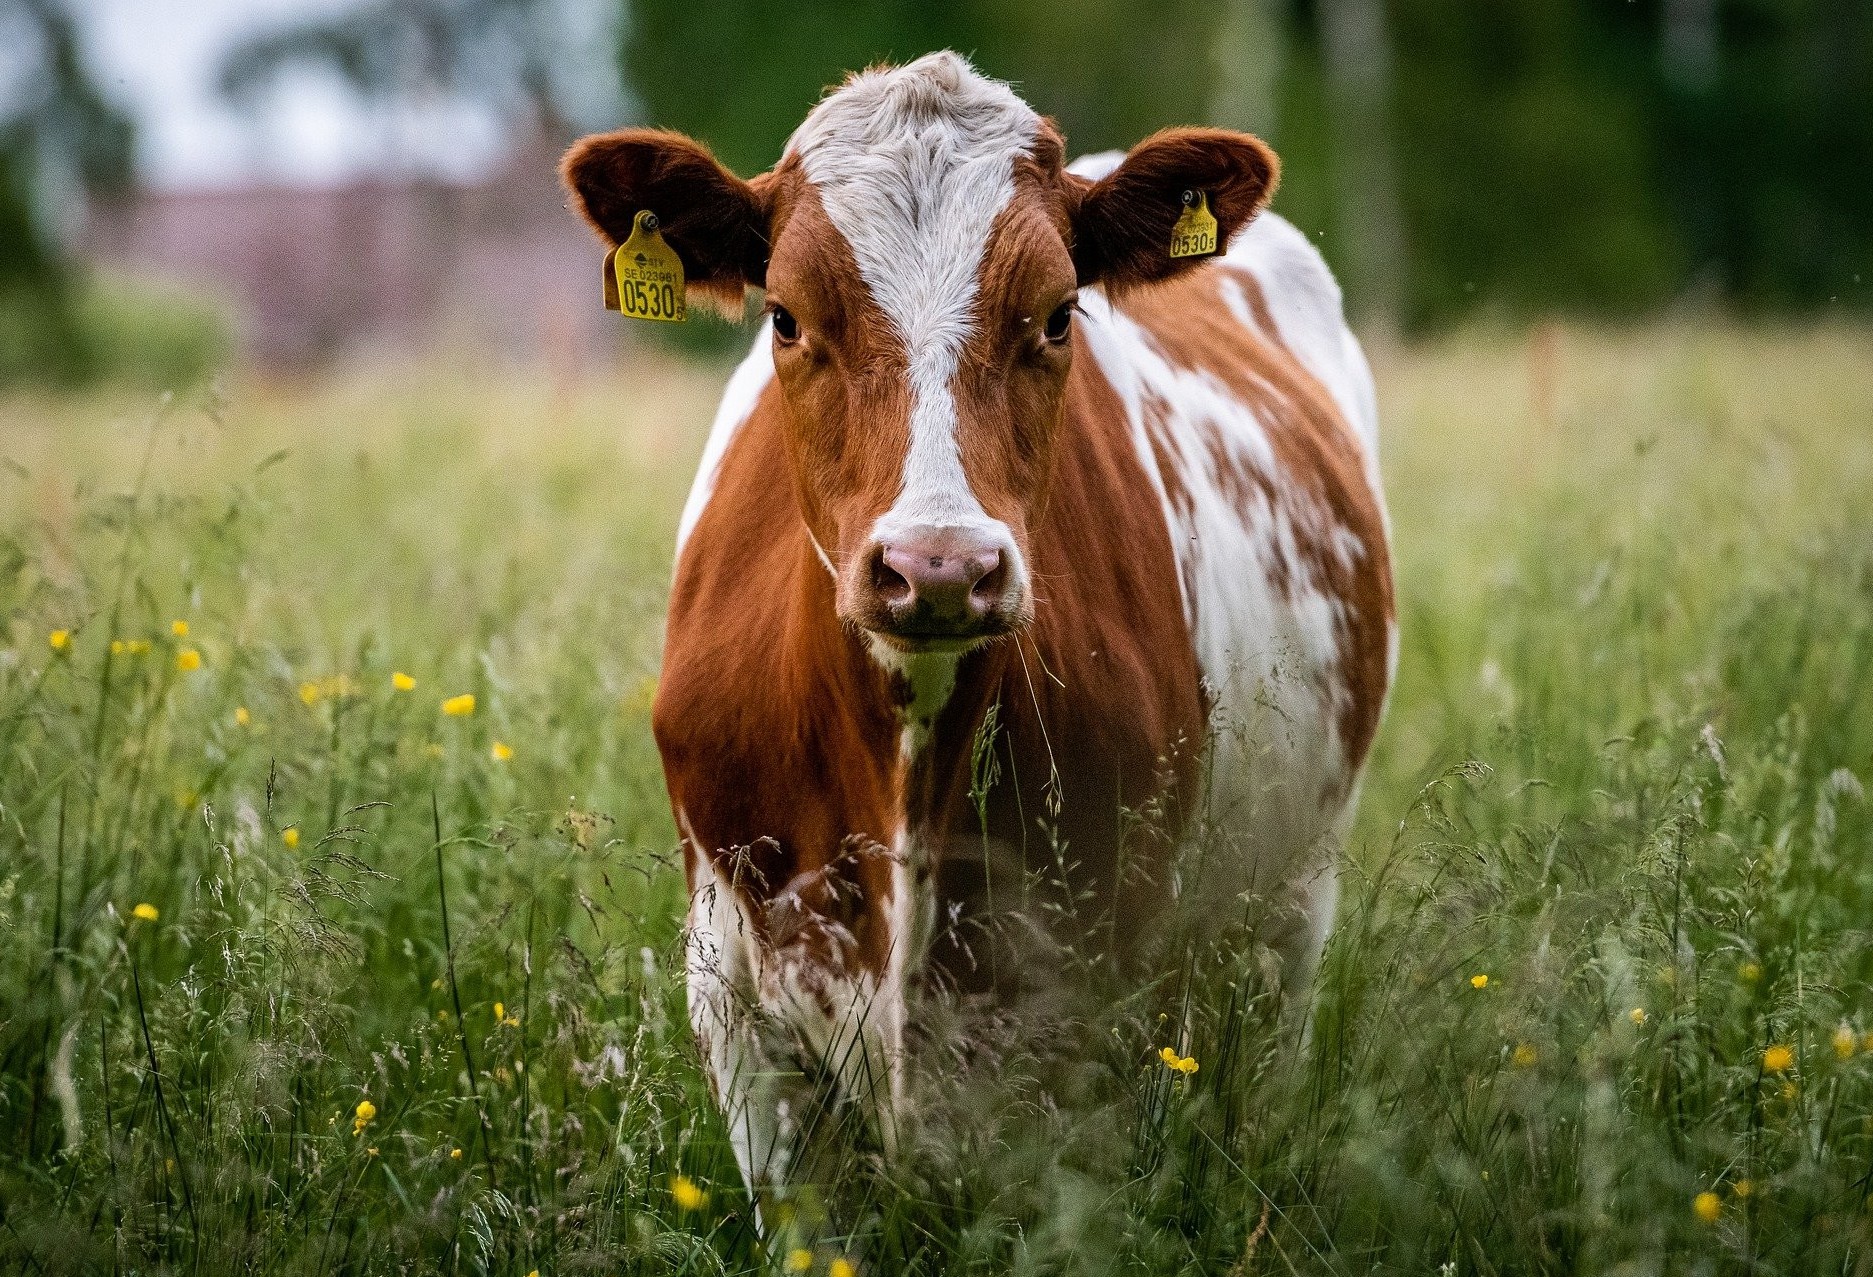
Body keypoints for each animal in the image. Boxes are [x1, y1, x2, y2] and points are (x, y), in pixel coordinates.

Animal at [561, 49, 1401, 1205]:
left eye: (1055, 315)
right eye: (785, 316)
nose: (939, 567)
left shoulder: (1103, 1000)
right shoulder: (736, 1005)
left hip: (1290, 903)